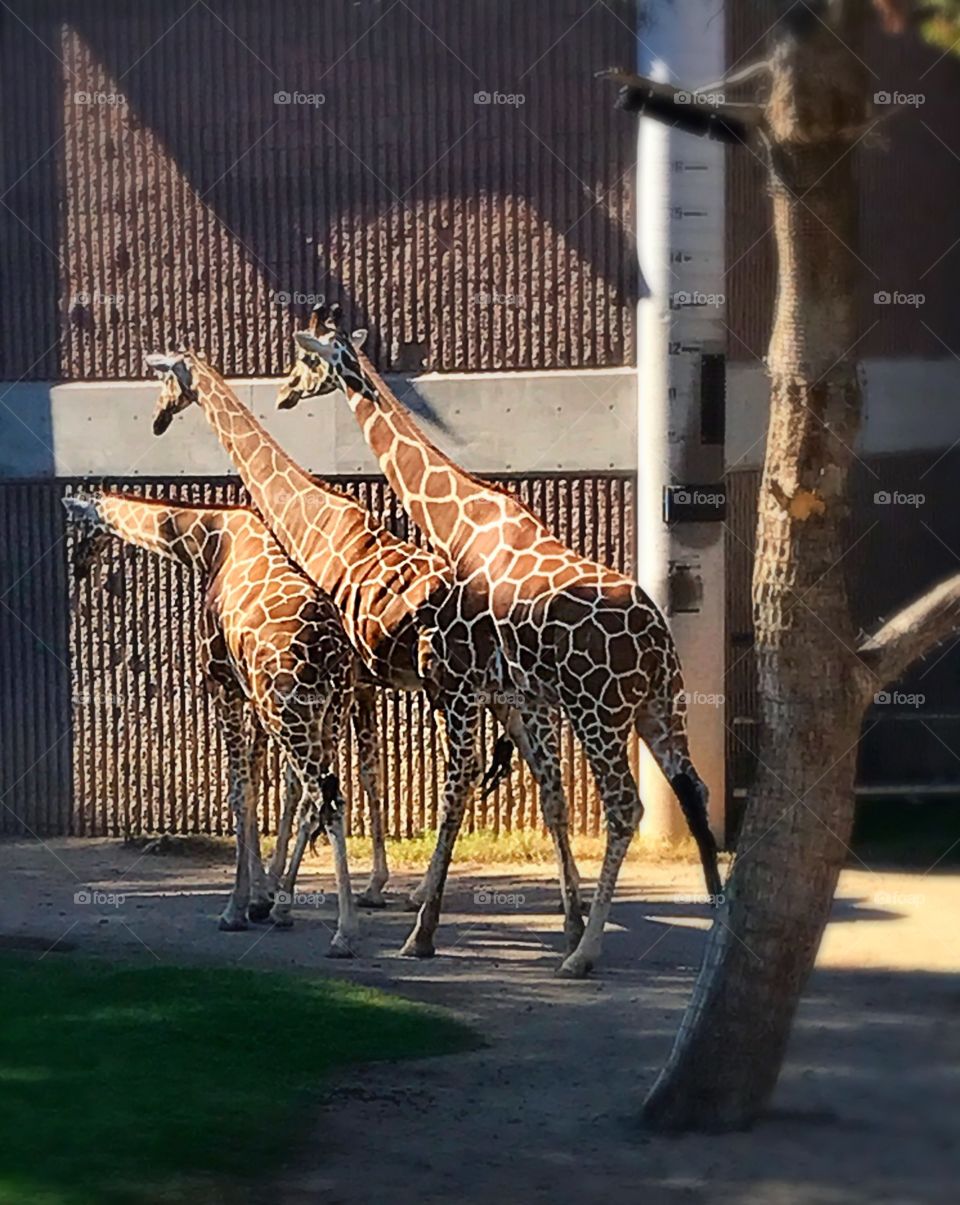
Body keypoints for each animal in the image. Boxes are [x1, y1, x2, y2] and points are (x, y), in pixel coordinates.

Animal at [62, 489, 376, 955]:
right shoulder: (251, 697)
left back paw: (344, 932)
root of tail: (333, 655)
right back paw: (290, 909)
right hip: (326, 715)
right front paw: (262, 900)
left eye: (79, 524)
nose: (79, 566)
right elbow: (258, 784)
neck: (208, 543)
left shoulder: (220, 683)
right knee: (318, 796)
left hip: (292, 714)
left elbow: (238, 791)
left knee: (328, 800)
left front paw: (235, 909)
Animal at [144, 346, 590, 958]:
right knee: (546, 777)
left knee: (465, 773)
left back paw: (425, 922)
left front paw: (279, 899)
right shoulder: (355, 684)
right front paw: (337, 889)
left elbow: (316, 781)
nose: (158, 420)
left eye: (165, 380)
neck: (313, 522)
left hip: (459, 692)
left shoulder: (338, 682)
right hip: (511, 698)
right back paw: (570, 921)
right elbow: (352, 773)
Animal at [292, 307, 722, 978]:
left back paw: (586, 956)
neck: (459, 521)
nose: (286, 392)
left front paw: (421, 934)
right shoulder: (524, 694)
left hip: (601, 713)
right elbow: (545, 795)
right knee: (694, 790)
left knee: (626, 805)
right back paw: (719, 929)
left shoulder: (468, 686)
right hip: (660, 707)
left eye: (306, 359)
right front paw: (565, 923)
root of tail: (657, 640)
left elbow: (457, 790)